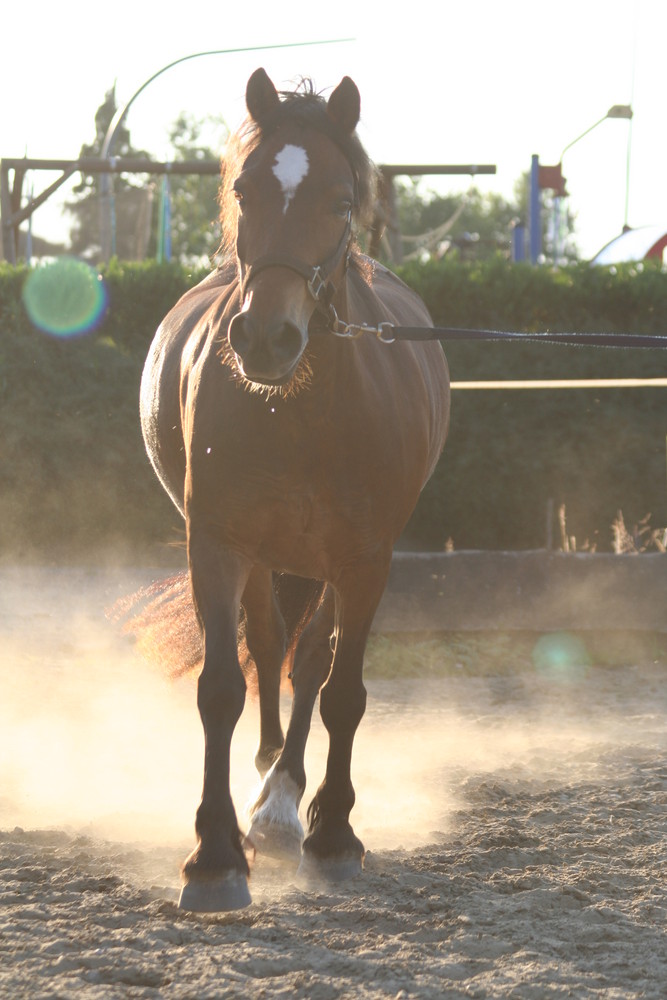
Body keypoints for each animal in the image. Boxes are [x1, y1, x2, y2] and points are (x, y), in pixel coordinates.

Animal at [143, 68, 452, 916]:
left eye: (342, 202)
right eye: (243, 189)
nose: (265, 338)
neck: (302, 411)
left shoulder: (365, 560)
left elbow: (342, 690)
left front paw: (333, 836)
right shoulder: (219, 545)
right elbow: (222, 686)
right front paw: (214, 856)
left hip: (322, 563)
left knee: (309, 661)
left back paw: (285, 806)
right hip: (267, 558)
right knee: (269, 646)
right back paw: (264, 797)